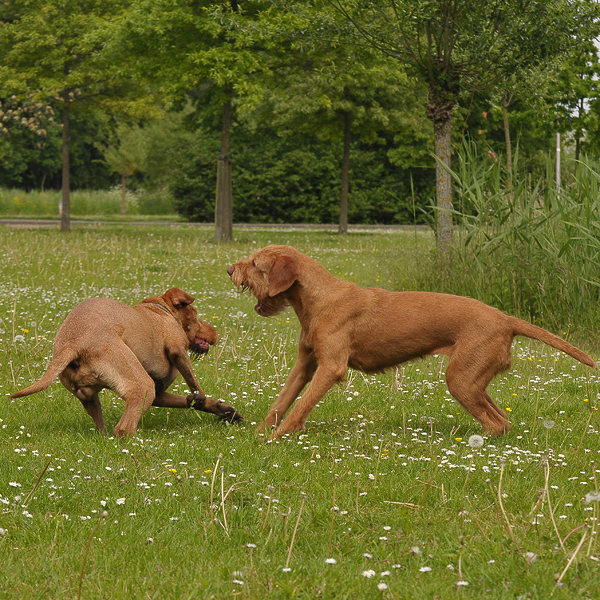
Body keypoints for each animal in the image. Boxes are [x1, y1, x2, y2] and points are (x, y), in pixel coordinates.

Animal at [12, 288, 242, 436]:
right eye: (196, 316)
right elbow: (194, 383)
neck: (160, 309)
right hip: (142, 386)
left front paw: (222, 409)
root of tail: (74, 344)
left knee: (103, 429)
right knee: (123, 430)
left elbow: (189, 400)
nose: (215, 333)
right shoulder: (177, 349)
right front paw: (204, 400)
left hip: (91, 398)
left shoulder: (159, 394)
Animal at [228, 244, 595, 437]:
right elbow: (282, 400)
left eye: (255, 264)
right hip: (473, 380)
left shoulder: (331, 367)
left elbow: (301, 405)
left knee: (496, 423)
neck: (317, 300)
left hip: (460, 378)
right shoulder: (306, 363)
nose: (231, 269)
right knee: (501, 419)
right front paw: (260, 431)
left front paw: (278, 436)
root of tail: (506, 318)